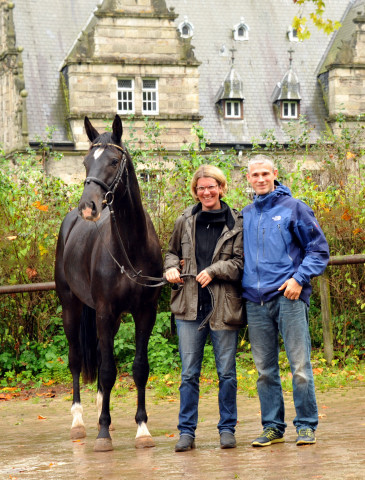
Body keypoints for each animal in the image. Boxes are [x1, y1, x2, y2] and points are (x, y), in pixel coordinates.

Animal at [54, 114, 162, 452]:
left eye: (114, 161)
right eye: (86, 162)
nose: (88, 207)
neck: (130, 248)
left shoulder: (145, 313)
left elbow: (138, 369)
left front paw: (142, 429)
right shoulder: (102, 311)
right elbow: (105, 370)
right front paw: (103, 432)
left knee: (102, 359)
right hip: (71, 308)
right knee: (77, 360)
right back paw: (79, 421)